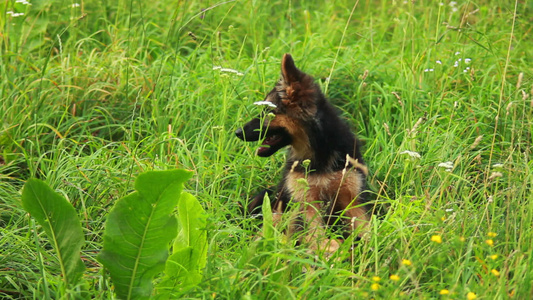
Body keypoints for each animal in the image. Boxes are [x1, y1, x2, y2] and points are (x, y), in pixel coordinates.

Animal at [235, 54, 368, 253]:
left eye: (267, 112)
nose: (237, 133)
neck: (319, 151)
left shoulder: (353, 199)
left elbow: (367, 230)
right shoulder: (305, 204)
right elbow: (317, 235)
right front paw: (331, 250)